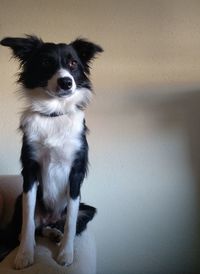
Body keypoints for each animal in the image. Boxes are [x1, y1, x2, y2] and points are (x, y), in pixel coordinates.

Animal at [0, 35, 103, 268]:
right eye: (46, 62)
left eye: (73, 63)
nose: (66, 82)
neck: (54, 114)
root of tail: (50, 218)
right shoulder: (29, 172)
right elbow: (28, 223)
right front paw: (24, 254)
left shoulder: (75, 173)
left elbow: (71, 222)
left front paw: (66, 254)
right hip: (19, 199)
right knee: (31, 228)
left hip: (88, 210)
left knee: (61, 224)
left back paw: (55, 233)